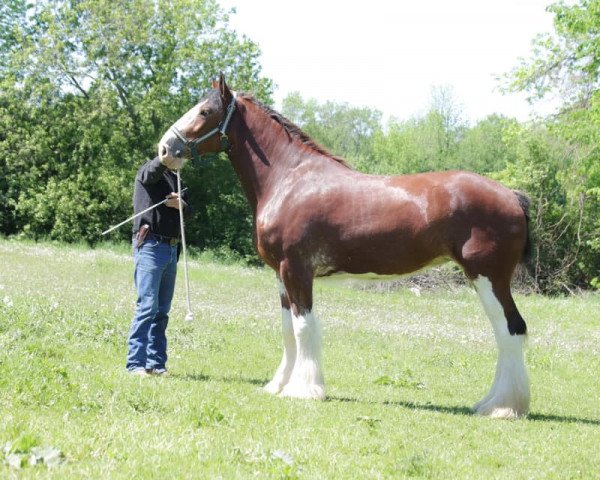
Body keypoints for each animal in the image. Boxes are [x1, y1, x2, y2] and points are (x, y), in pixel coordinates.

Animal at [157, 73, 532, 418]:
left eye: (205, 111)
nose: (164, 150)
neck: (289, 179)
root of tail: (512, 195)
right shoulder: (280, 276)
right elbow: (287, 329)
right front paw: (279, 384)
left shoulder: (296, 270)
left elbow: (304, 327)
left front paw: (304, 390)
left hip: (488, 277)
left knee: (510, 330)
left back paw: (500, 406)